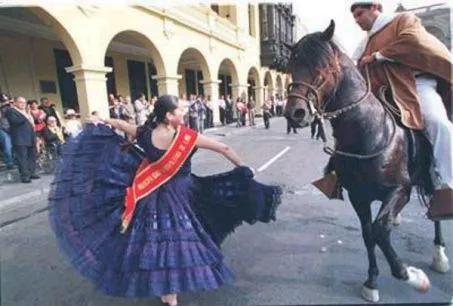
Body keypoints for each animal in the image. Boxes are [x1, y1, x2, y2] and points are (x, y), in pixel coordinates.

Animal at [282, 20, 448, 302]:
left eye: (323, 66)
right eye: (293, 67)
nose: (296, 113)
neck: (370, 131)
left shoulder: (400, 189)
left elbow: (380, 230)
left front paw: (411, 275)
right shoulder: (358, 196)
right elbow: (369, 233)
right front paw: (371, 281)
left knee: (436, 210)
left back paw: (440, 254)